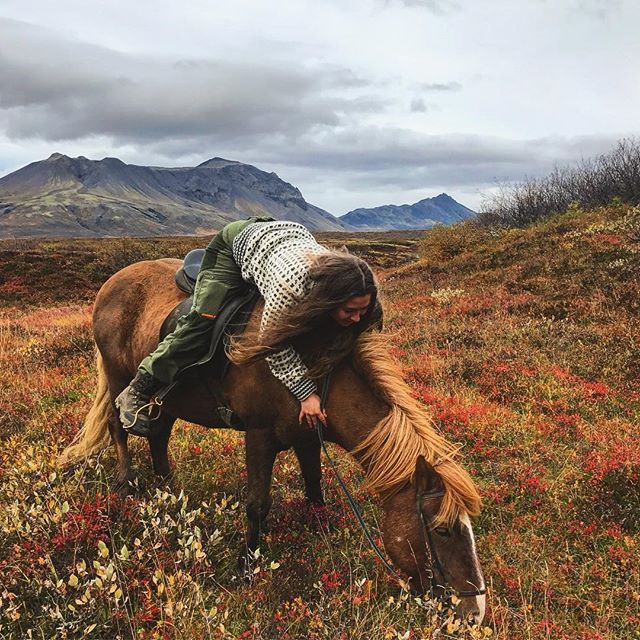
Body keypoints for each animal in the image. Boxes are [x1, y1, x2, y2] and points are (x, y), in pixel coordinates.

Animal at [60, 258, 488, 624]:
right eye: (443, 530)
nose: (474, 614)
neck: (312, 371)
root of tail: (112, 282)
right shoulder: (259, 436)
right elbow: (257, 504)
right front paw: (246, 566)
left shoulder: (307, 436)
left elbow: (315, 489)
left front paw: (317, 532)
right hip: (120, 376)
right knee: (120, 428)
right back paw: (126, 483)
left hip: (167, 400)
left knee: (159, 435)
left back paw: (168, 492)